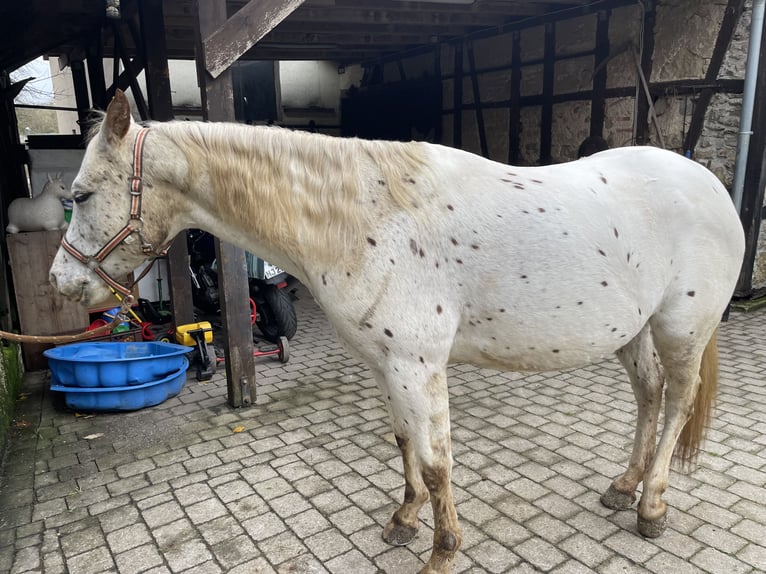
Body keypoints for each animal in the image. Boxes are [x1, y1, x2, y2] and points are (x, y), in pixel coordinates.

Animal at [48, 92, 744, 572]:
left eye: (80, 196)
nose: (61, 284)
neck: (369, 213)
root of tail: (712, 186)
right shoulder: (389, 365)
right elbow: (405, 445)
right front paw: (404, 522)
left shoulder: (418, 366)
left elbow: (436, 465)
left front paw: (442, 550)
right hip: (632, 332)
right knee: (650, 397)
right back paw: (624, 488)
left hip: (681, 329)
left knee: (677, 403)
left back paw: (652, 507)